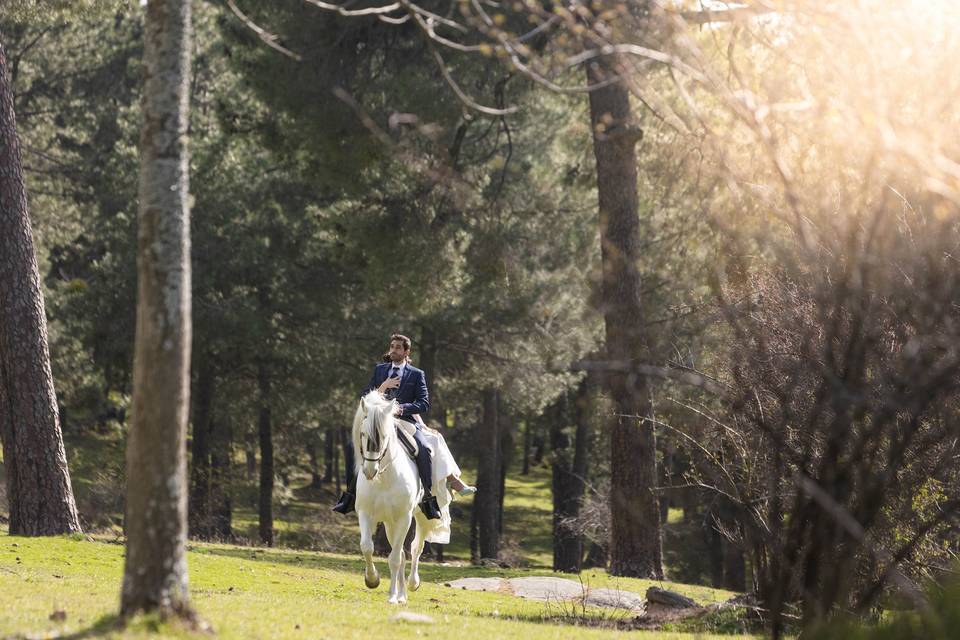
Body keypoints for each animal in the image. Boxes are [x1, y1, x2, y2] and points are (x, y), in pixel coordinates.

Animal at [350, 390, 430, 604]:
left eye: (384, 435)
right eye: (363, 434)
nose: (370, 471)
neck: (384, 478)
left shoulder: (404, 518)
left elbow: (394, 558)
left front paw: (392, 597)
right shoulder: (365, 513)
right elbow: (367, 547)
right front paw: (372, 580)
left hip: (421, 517)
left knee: (415, 548)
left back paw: (411, 584)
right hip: (389, 522)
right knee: (401, 552)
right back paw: (401, 594)